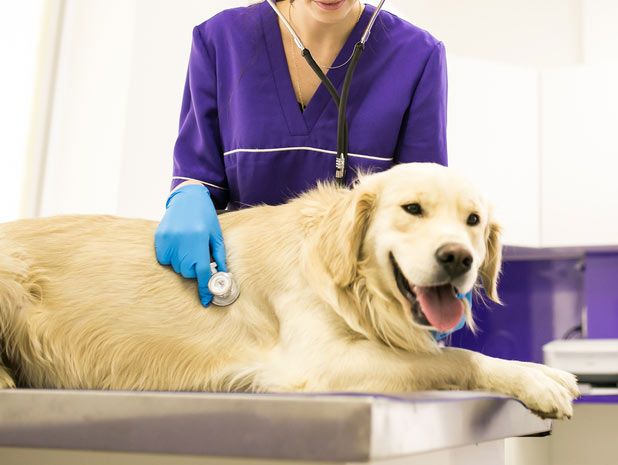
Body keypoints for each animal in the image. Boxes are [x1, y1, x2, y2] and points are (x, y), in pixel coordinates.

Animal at [0, 164, 576, 420]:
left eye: (473, 221)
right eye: (412, 209)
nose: (458, 258)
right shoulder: (318, 366)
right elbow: (454, 359)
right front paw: (537, 380)